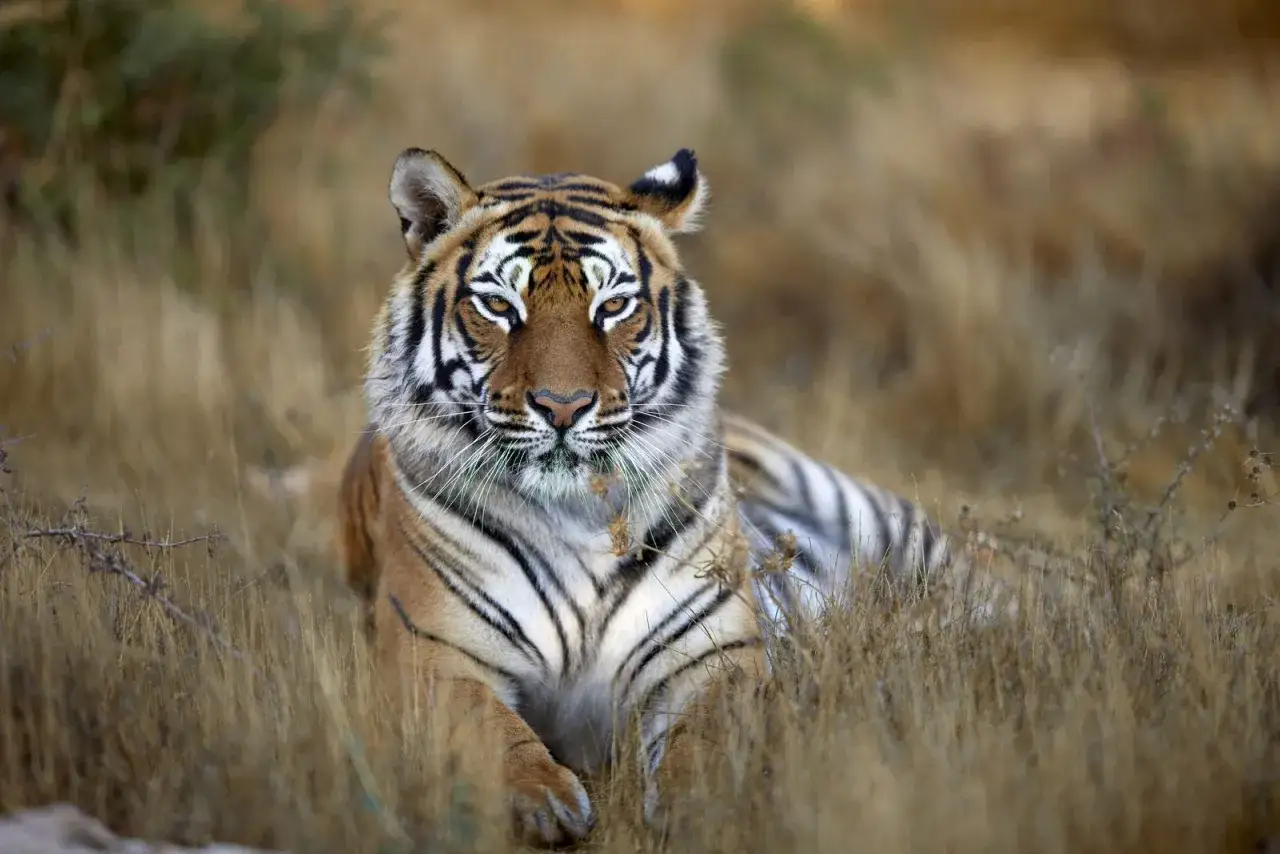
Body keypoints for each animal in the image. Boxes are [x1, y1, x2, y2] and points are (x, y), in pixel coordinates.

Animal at [337, 146, 995, 846]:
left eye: (612, 307)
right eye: (497, 306)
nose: (563, 406)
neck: (577, 515)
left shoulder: (710, 654)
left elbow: (707, 739)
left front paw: (698, 806)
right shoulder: (432, 652)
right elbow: (486, 729)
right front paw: (544, 800)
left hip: (870, 514)